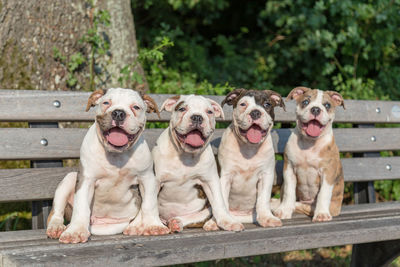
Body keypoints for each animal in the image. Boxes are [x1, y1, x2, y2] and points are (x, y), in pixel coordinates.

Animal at [46, 89, 170, 244]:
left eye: (135, 107)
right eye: (106, 103)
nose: (118, 113)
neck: (116, 155)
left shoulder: (147, 178)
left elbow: (149, 204)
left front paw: (154, 225)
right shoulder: (86, 180)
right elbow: (81, 207)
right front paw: (75, 231)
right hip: (69, 179)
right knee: (55, 212)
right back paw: (56, 227)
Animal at [152, 95, 244, 233]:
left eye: (209, 112)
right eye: (182, 109)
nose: (197, 117)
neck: (186, 155)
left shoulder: (210, 181)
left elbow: (219, 203)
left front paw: (228, 221)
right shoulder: (156, 180)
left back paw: (177, 222)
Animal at [206, 88, 284, 230]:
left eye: (267, 104)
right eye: (243, 104)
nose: (255, 112)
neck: (249, 148)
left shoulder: (266, 175)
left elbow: (263, 199)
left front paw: (267, 218)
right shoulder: (224, 177)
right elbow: (221, 200)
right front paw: (216, 222)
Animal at [274, 87, 346, 223]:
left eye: (327, 105)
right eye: (306, 102)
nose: (316, 109)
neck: (309, 143)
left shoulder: (328, 173)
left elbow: (324, 193)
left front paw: (321, 214)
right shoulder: (289, 168)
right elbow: (289, 191)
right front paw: (284, 210)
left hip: (333, 206)